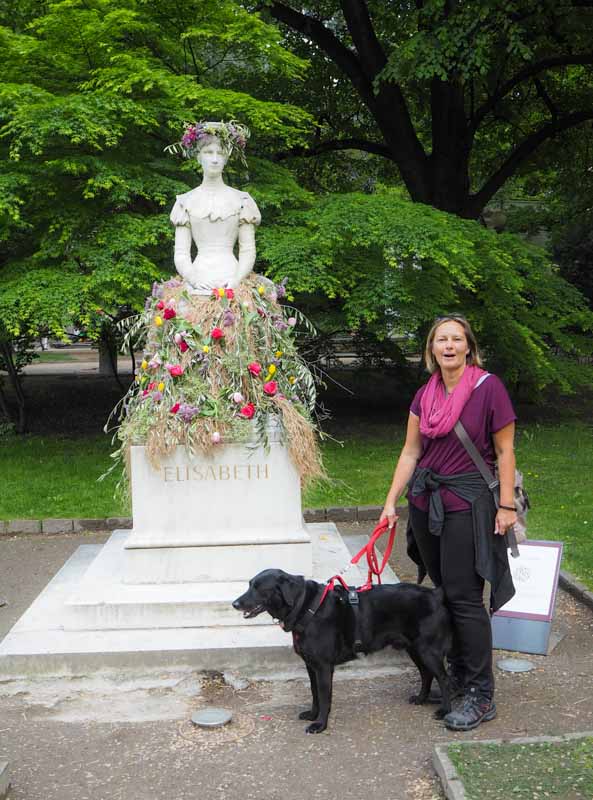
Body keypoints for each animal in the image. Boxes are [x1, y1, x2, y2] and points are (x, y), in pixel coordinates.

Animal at [234, 568, 450, 732]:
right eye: (249, 584)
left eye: (259, 588)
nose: (235, 603)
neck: (307, 608)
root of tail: (434, 593)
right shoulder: (311, 665)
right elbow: (314, 693)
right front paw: (312, 715)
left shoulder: (323, 666)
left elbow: (324, 696)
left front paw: (320, 724)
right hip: (415, 649)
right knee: (426, 674)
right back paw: (421, 699)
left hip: (427, 650)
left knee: (444, 678)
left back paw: (445, 711)